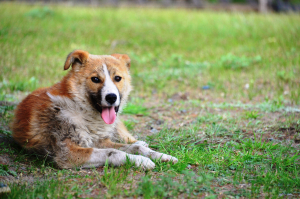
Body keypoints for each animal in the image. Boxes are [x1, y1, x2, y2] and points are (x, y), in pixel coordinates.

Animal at [11, 50, 178, 169]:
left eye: (118, 78)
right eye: (95, 79)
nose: (111, 97)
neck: (84, 113)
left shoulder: (100, 141)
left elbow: (132, 147)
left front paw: (160, 155)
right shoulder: (67, 152)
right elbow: (114, 152)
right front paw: (140, 161)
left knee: (129, 139)